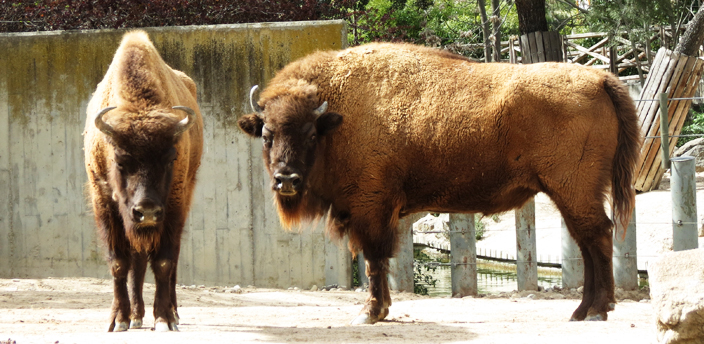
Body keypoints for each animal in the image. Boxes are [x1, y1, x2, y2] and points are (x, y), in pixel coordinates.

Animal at [84, 30, 204, 332]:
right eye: (120, 160)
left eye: (170, 158)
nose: (147, 210)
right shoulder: (105, 201)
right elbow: (118, 263)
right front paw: (119, 320)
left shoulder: (174, 204)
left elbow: (163, 262)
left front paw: (163, 319)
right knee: (136, 261)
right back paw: (137, 316)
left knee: (172, 259)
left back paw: (172, 313)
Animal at [238, 43, 644, 326]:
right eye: (267, 135)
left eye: (310, 134)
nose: (286, 179)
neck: (337, 118)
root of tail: (599, 79)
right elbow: (380, 261)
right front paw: (381, 309)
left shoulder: (370, 209)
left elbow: (373, 261)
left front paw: (369, 313)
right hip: (572, 193)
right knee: (588, 242)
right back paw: (582, 311)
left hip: (573, 189)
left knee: (597, 237)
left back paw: (595, 311)